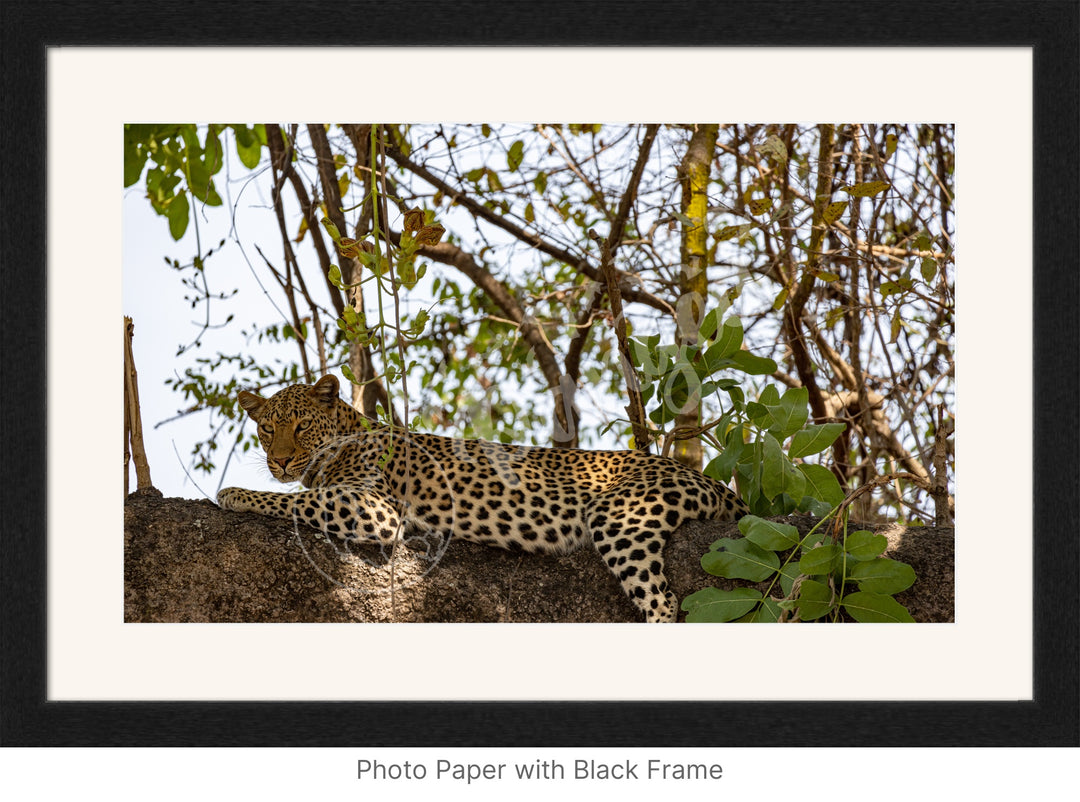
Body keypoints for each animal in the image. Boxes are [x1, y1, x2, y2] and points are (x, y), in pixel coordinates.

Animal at [214, 373, 747, 626]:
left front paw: (233, 493)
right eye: (267, 429)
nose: (281, 461)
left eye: (302, 425)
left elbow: (298, 502)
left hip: (620, 517)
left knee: (663, 600)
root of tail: (708, 481)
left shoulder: (376, 509)